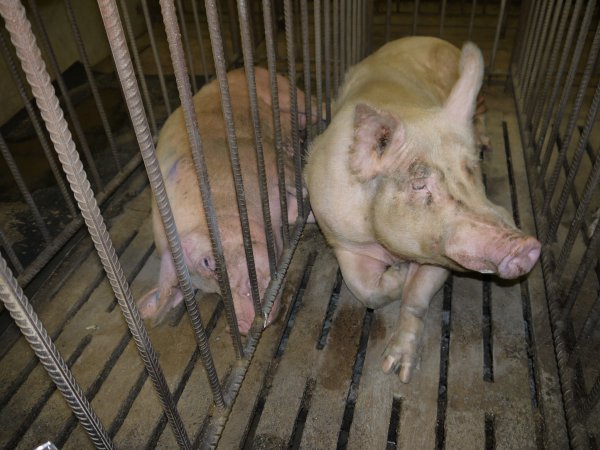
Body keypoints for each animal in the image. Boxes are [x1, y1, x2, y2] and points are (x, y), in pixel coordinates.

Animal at [139, 67, 310, 334]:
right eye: (209, 290)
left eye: (208, 262)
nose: (242, 325)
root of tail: (235, 71)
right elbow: (295, 212)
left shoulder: (264, 160)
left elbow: (300, 187)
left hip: (283, 90)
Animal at [302, 37, 540, 384]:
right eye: (419, 185)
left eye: (472, 170)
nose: (527, 245)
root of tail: (430, 38)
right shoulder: (340, 236)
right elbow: (365, 289)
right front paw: (398, 277)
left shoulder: (439, 254)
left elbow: (415, 299)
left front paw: (397, 371)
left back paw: (485, 138)